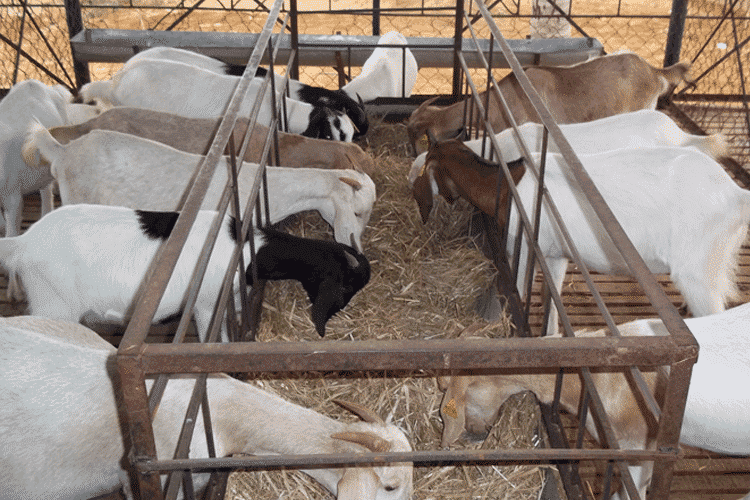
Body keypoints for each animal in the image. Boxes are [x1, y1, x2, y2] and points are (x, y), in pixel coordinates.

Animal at [0, 204, 370, 339]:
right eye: (344, 287)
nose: (335, 316)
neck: (247, 248)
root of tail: (22, 244)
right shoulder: (206, 305)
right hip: (54, 303)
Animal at [413, 139, 750, 335]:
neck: (507, 185)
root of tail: (736, 195)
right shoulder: (555, 253)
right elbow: (552, 298)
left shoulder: (523, 247)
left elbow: (516, 292)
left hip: (698, 272)